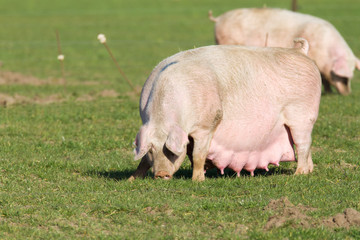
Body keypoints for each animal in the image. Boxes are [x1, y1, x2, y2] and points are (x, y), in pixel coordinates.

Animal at [129, 39, 320, 182]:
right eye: (151, 150)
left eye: (170, 150)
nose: (161, 175)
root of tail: (300, 52)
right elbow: (143, 161)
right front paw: (132, 179)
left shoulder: (208, 124)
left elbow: (198, 154)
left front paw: (198, 180)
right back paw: (309, 171)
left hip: (302, 116)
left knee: (303, 144)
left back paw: (299, 174)